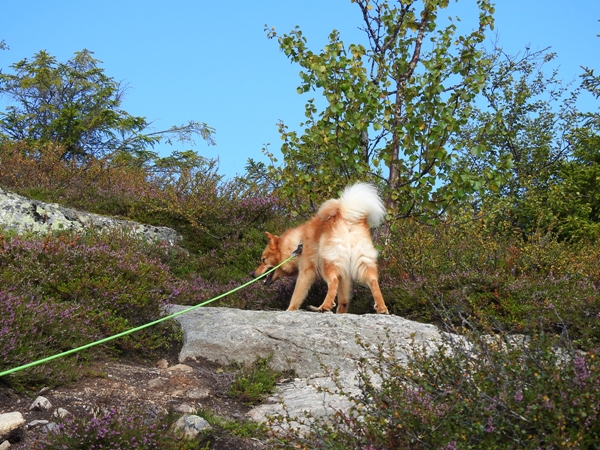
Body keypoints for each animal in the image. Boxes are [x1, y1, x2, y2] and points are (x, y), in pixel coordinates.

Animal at [250, 182, 386, 312]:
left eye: (263, 260)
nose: (252, 274)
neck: (296, 245)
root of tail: (347, 216)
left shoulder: (306, 272)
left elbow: (296, 296)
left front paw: (290, 310)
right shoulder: (345, 274)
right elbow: (343, 301)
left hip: (327, 263)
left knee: (333, 281)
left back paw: (324, 306)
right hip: (363, 262)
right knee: (373, 281)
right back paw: (382, 308)